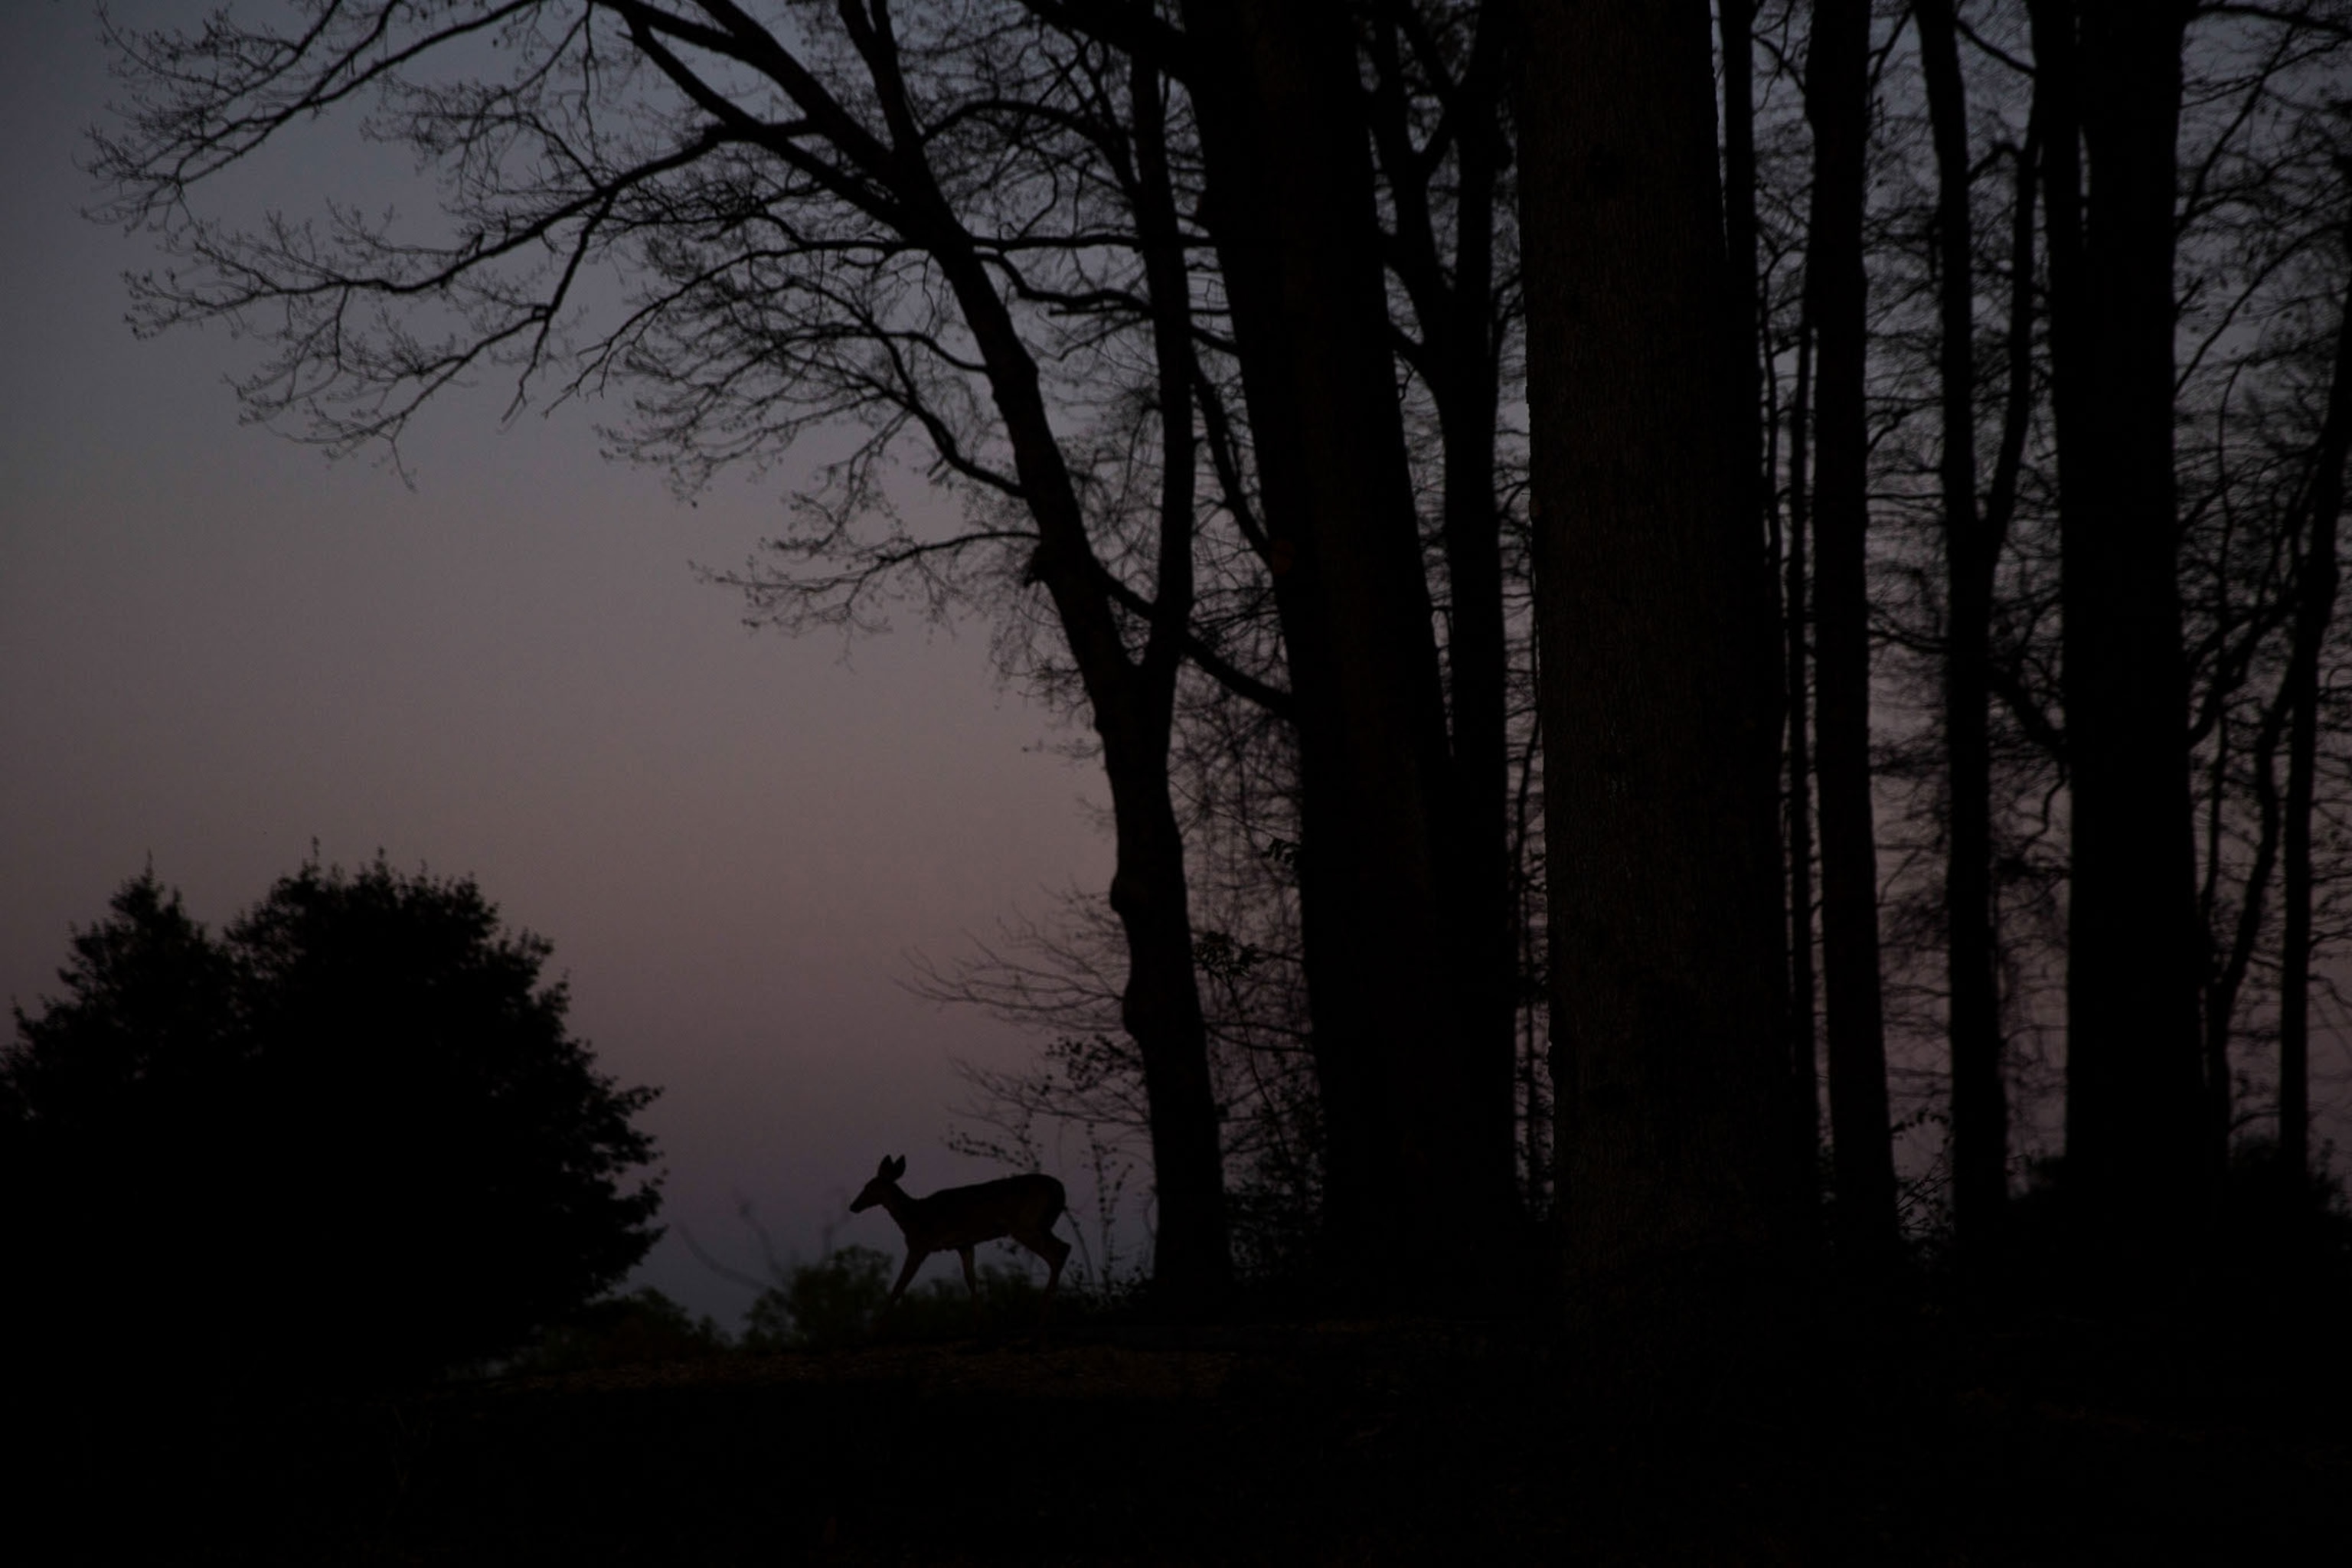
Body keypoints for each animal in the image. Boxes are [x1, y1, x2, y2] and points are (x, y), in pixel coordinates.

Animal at [848, 1155, 1072, 1331]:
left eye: (868, 1187)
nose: (853, 1206)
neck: (913, 1217)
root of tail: (1061, 1190)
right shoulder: (964, 1244)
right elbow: (970, 1279)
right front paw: (978, 1324)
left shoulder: (920, 1244)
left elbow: (899, 1286)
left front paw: (874, 1329)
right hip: (1040, 1225)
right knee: (1065, 1247)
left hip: (1025, 1225)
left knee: (1058, 1252)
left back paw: (1041, 1320)